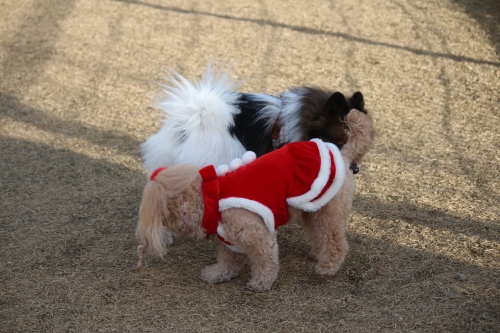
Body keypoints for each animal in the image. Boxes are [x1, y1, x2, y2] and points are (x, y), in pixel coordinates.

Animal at [135, 107, 374, 290]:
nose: (145, 241)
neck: (210, 198)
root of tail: (344, 155)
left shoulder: (258, 235)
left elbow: (265, 261)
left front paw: (260, 283)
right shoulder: (229, 238)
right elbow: (228, 261)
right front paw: (217, 274)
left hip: (330, 212)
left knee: (336, 242)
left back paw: (327, 267)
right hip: (313, 209)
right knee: (319, 235)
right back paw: (317, 254)